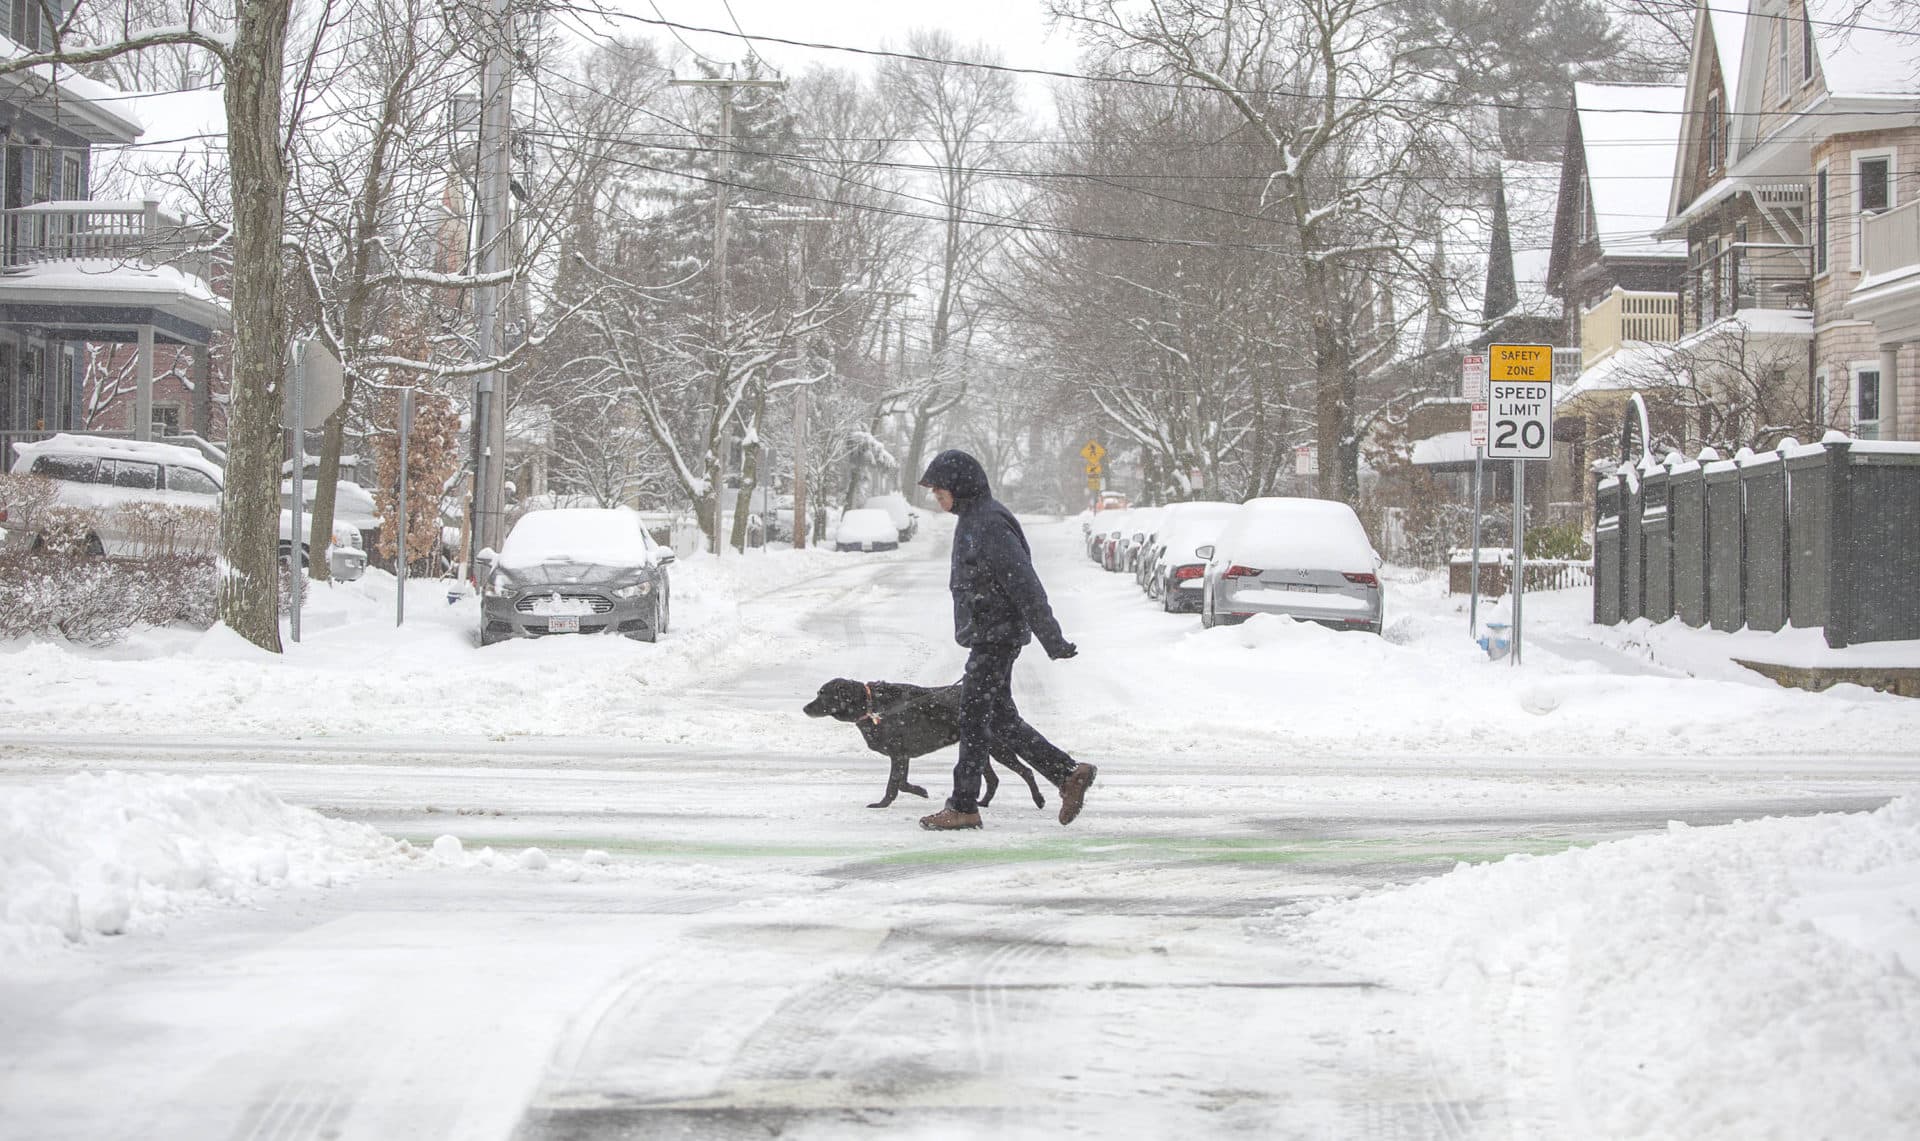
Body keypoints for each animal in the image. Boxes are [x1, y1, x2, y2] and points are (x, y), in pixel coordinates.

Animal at [806, 676, 1052, 806]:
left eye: (823, 694)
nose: (804, 708)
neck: (870, 705)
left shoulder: (898, 753)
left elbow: (893, 784)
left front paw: (883, 804)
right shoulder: (903, 755)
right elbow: (902, 783)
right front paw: (920, 791)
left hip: (998, 747)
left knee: (1026, 771)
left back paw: (1038, 799)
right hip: (979, 748)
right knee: (993, 779)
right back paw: (982, 803)